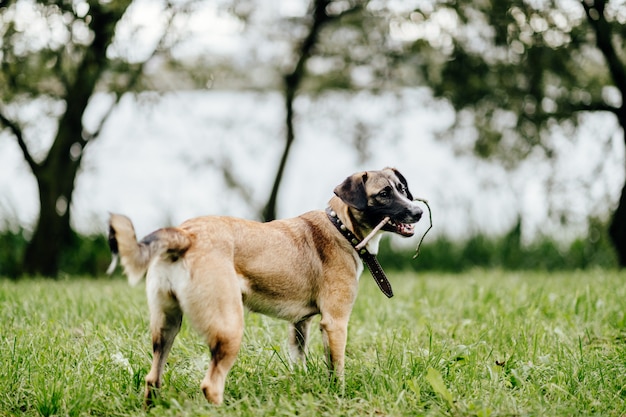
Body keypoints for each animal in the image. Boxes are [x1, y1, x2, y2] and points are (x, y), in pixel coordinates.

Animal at [108, 167, 420, 404]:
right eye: (383, 194)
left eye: (402, 189)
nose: (417, 212)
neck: (341, 227)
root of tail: (185, 234)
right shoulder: (335, 323)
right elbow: (337, 369)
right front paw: (339, 397)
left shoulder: (300, 324)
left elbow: (299, 359)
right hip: (229, 328)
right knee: (211, 385)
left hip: (166, 326)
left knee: (153, 378)